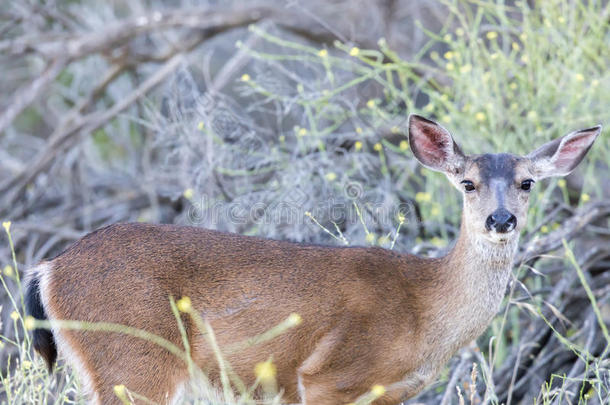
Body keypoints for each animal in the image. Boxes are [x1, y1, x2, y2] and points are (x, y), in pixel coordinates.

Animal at [25, 114, 600, 404]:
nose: (501, 220)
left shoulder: (390, 395)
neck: (425, 311)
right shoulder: (327, 375)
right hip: (134, 359)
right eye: (468, 183)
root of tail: (48, 269)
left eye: (527, 183)